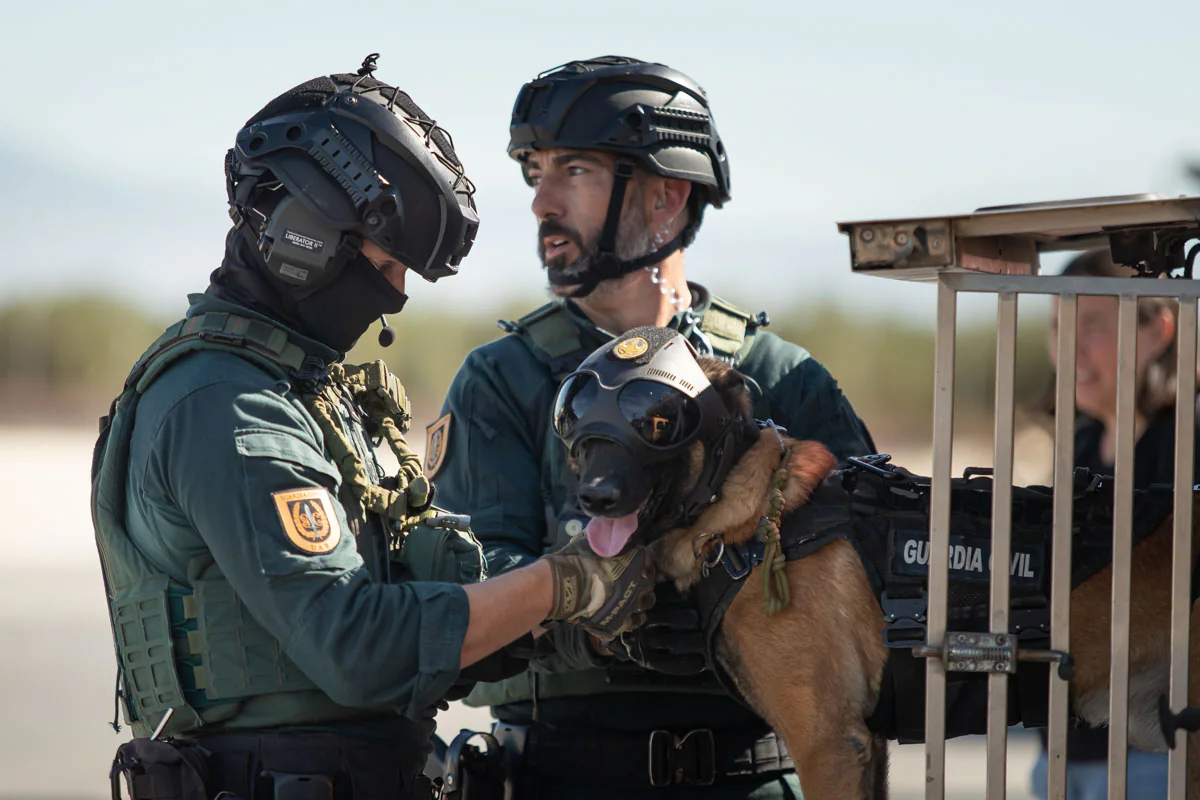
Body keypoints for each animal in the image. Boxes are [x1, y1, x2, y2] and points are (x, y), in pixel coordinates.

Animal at [564, 345, 1200, 800]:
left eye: (657, 421)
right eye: (575, 427)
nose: (592, 498)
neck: (746, 515)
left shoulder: (829, 746)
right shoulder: (864, 744)